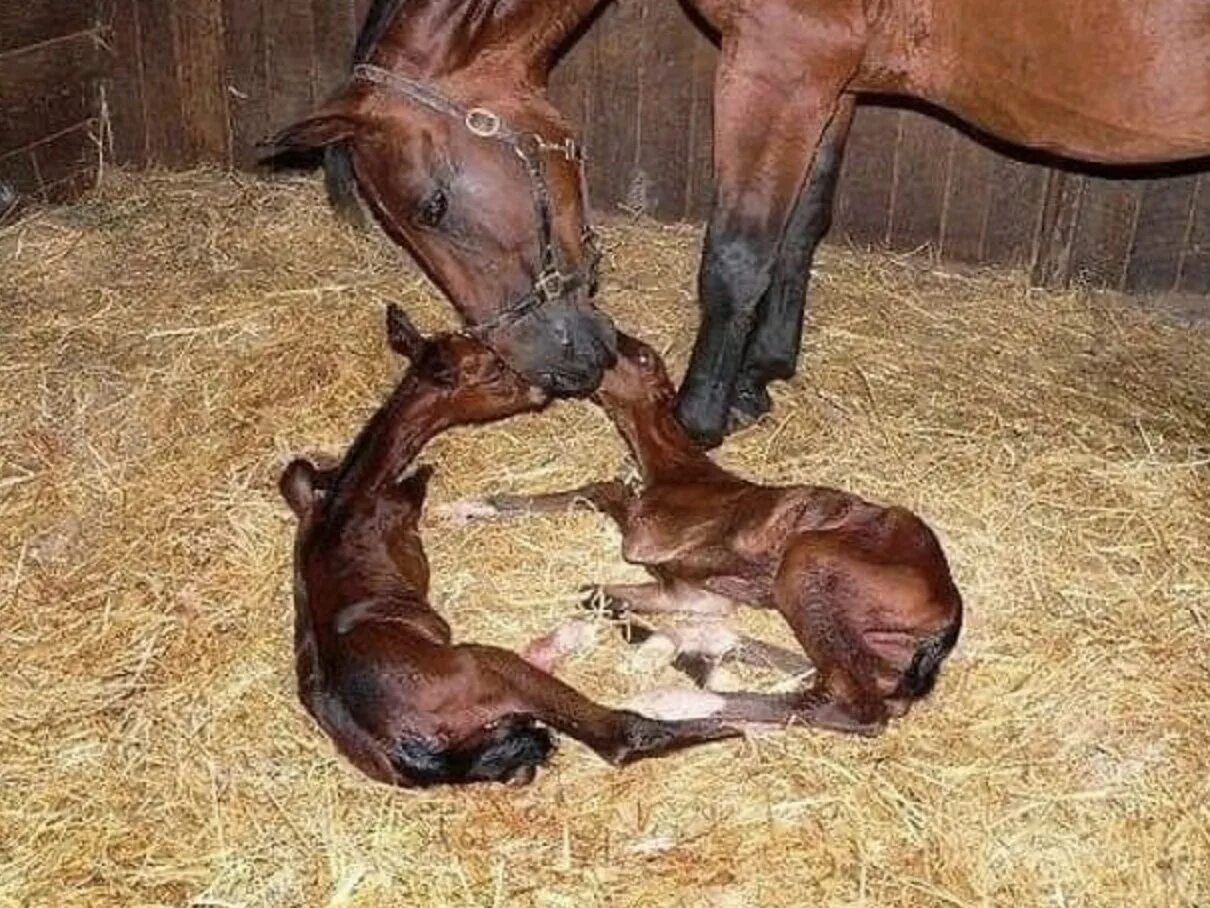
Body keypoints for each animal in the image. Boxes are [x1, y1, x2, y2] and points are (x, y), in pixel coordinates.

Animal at [278, 307, 740, 789]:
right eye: (493, 368)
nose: (543, 385)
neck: (351, 494)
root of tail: (415, 752)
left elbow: (296, 469)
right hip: (489, 664)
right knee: (618, 732)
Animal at [454, 331, 963, 736]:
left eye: (641, 355)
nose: (596, 337)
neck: (677, 468)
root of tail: (949, 612)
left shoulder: (652, 540)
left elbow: (610, 495)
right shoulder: (687, 592)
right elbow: (596, 587)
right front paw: (470, 506)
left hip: (807, 559)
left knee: (857, 704)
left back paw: (679, 699)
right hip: (868, 639)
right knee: (852, 680)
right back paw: (705, 654)